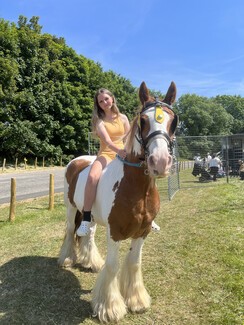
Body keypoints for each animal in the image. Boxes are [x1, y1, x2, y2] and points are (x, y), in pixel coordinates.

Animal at [58, 80, 178, 322]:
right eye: (143, 120)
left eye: (173, 121)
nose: (160, 162)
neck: (136, 188)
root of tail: (77, 161)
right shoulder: (114, 232)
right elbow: (113, 266)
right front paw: (109, 307)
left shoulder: (142, 232)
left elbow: (134, 263)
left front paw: (136, 301)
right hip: (70, 208)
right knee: (70, 231)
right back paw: (67, 259)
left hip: (91, 217)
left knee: (88, 234)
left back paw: (92, 262)